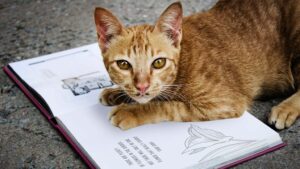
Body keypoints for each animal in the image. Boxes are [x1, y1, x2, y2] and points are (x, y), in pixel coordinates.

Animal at [94, 0, 300, 129]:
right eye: (123, 64)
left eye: (159, 63)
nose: (142, 86)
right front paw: (116, 93)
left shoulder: (224, 102)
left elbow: (168, 105)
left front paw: (133, 111)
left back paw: (285, 109)